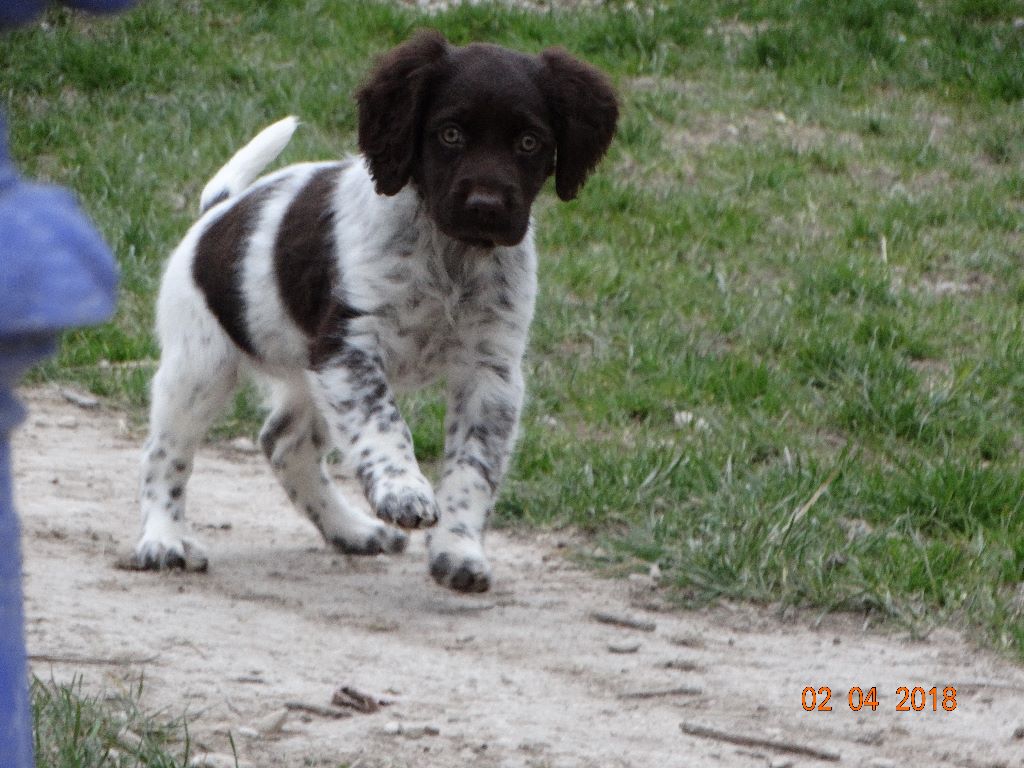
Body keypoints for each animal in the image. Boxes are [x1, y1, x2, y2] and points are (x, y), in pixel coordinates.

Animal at [134, 31, 614, 593]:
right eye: (450, 134)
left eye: (530, 142)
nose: (486, 206)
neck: (450, 255)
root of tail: (217, 212)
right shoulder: (350, 347)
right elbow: (383, 424)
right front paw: (402, 491)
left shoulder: (490, 371)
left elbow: (474, 467)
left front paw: (458, 548)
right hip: (199, 369)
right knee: (166, 456)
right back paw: (162, 539)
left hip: (309, 379)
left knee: (286, 445)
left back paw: (352, 531)